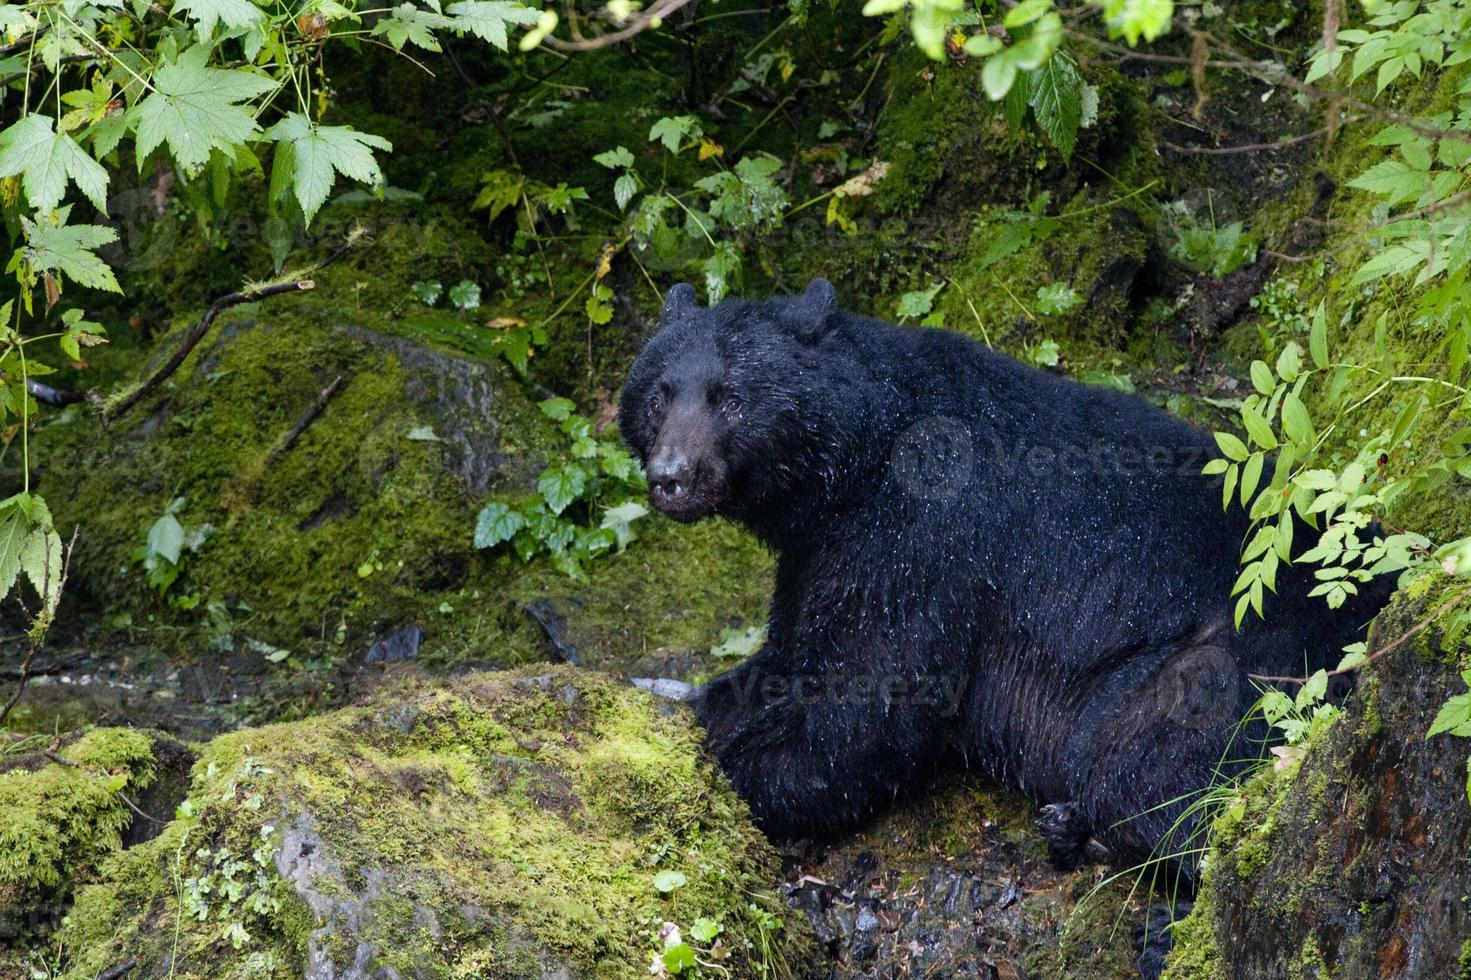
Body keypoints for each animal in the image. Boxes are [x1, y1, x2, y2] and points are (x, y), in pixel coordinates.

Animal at [617, 278, 1388, 871]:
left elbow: (866, 704)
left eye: (730, 397)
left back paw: (1090, 829)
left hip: (1251, 654)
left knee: (1148, 755)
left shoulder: (919, 536)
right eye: (659, 394)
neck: (861, 455)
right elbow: (790, 656)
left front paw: (721, 767)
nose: (671, 478)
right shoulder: (820, 548)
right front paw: (674, 701)